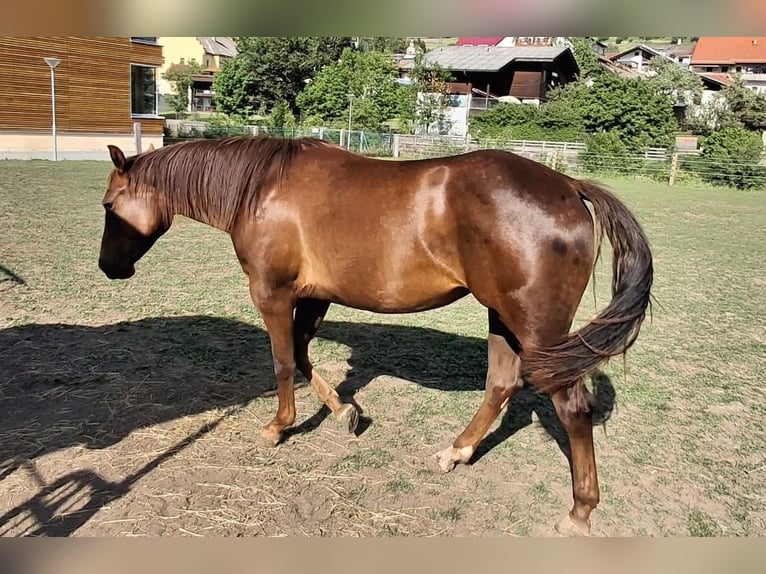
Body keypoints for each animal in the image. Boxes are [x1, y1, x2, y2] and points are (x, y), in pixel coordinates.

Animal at [98, 135, 653, 536]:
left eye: (108, 205)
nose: (109, 268)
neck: (262, 189)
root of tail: (568, 185)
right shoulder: (314, 295)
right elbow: (303, 355)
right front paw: (345, 411)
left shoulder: (272, 293)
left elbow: (283, 360)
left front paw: (279, 427)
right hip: (504, 318)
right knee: (501, 384)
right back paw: (457, 452)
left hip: (536, 328)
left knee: (572, 409)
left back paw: (579, 512)